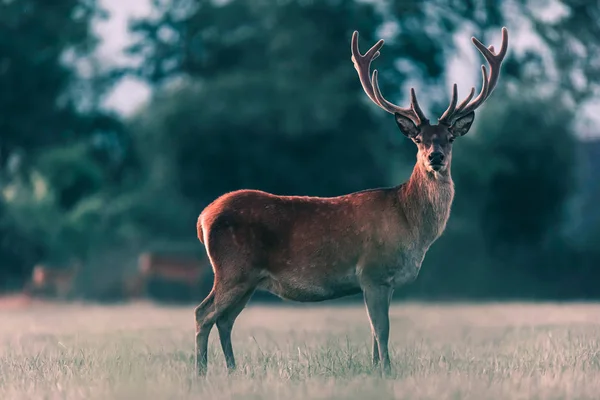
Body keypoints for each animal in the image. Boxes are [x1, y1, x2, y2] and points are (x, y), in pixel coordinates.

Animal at [195, 27, 508, 376]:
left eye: (449, 138)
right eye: (418, 139)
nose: (435, 157)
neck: (411, 224)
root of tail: (203, 218)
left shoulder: (383, 282)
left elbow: (373, 333)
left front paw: (376, 370)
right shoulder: (372, 271)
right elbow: (382, 330)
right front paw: (388, 371)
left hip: (248, 278)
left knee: (224, 320)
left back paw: (232, 369)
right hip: (233, 268)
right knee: (203, 313)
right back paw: (201, 372)